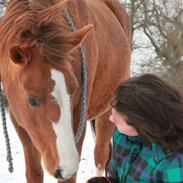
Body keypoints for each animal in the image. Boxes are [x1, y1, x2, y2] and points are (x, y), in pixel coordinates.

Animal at [0, 0, 131, 183]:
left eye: (74, 89)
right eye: (31, 100)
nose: (65, 167)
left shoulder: (78, 119)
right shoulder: (21, 122)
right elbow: (34, 172)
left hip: (108, 114)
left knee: (100, 155)